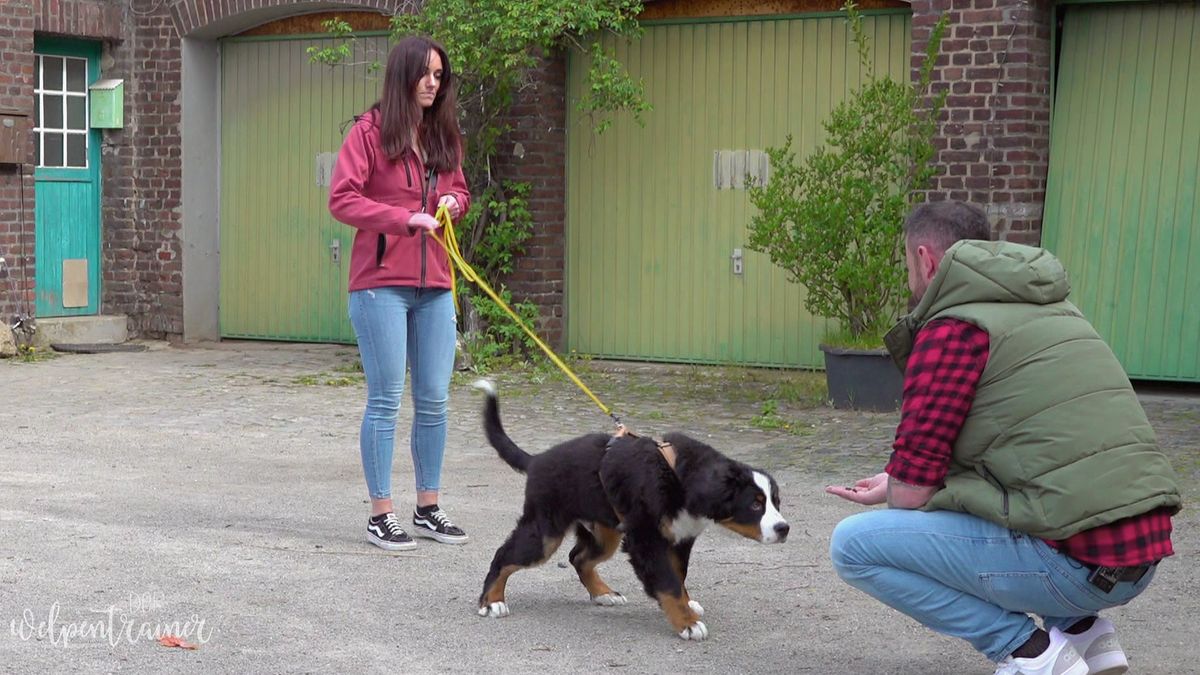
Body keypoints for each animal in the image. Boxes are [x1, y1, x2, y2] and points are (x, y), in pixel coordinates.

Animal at [472, 381, 792, 638]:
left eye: (776, 502)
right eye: (755, 503)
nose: (784, 528)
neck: (677, 476)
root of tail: (537, 459)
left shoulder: (680, 538)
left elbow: (679, 576)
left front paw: (687, 605)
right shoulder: (645, 538)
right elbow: (667, 582)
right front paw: (687, 623)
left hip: (605, 533)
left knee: (579, 557)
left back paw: (603, 594)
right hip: (545, 532)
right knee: (504, 556)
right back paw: (492, 601)